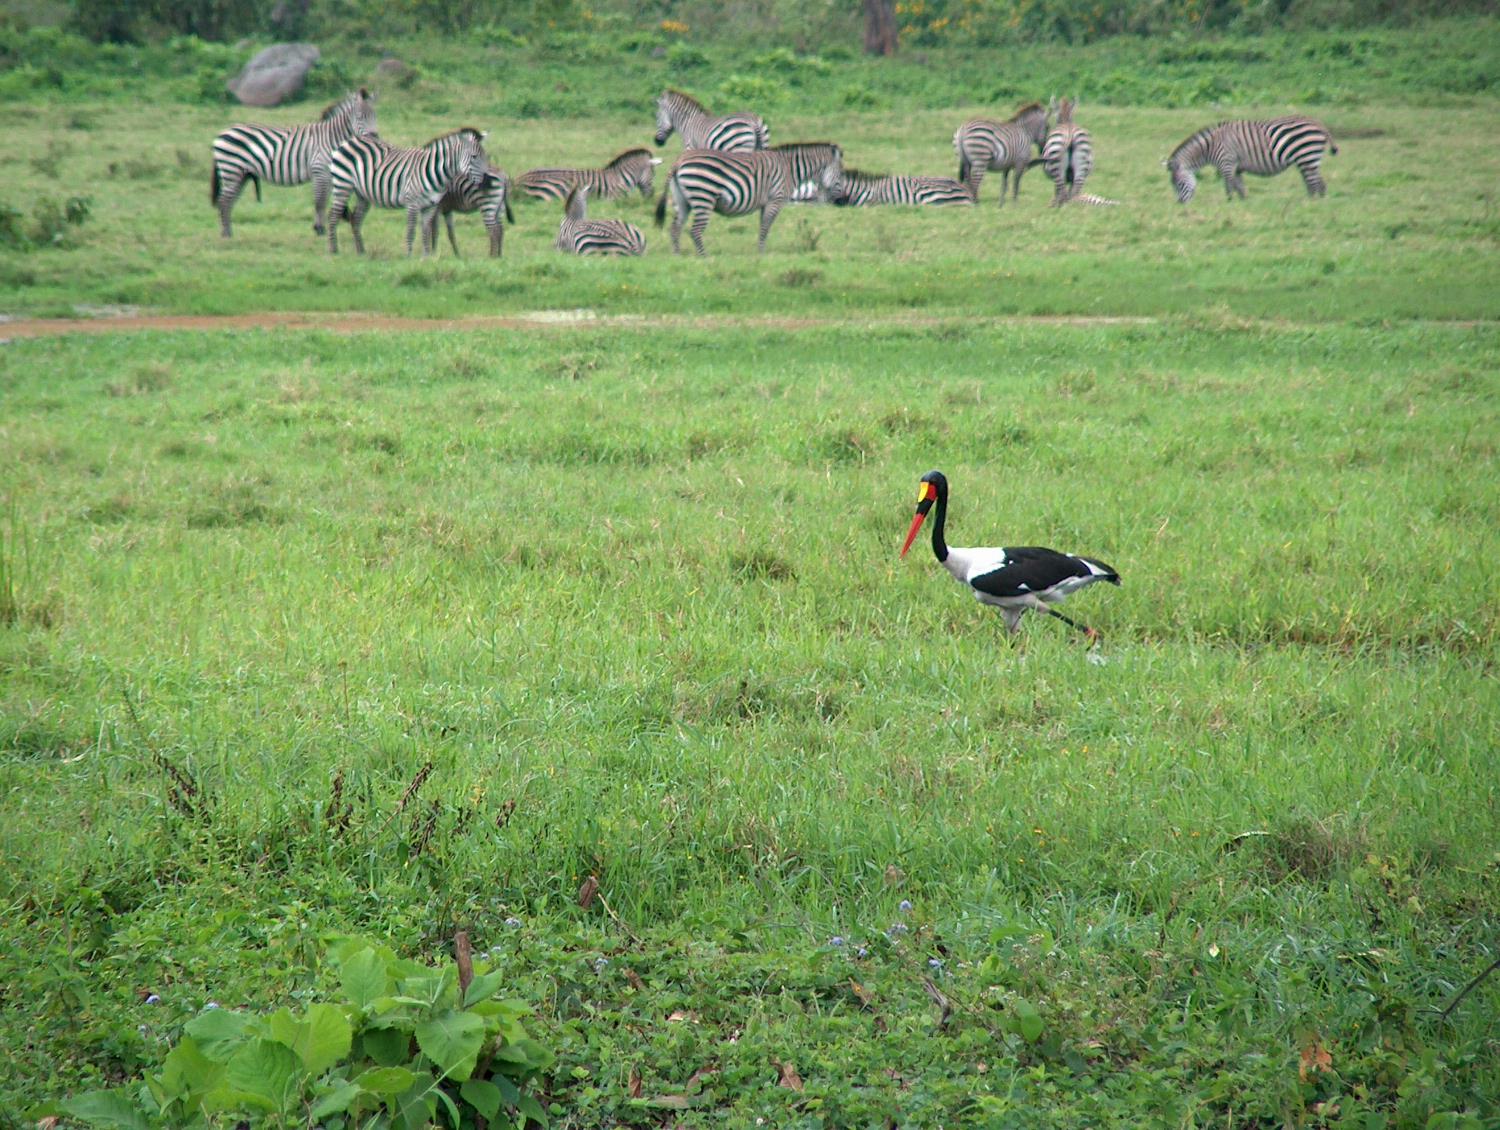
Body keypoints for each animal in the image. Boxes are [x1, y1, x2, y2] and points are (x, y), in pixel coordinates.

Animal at [210, 88, 377, 238]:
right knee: (223, 201)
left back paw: (228, 231)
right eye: (360, 117)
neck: (331, 138)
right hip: (231, 169)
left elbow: (324, 200)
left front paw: (320, 227)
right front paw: (320, 230)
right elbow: (320, 201)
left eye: (374, 116)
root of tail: (222, 133)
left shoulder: (329, 174)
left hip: (241, 174)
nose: (374, 136)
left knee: (229, 201)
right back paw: (226, 234)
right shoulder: (320, 171)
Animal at [326, 127, 488, 256]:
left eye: (486, 157)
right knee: (333, 216)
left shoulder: (430, 206)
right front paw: (409, 256)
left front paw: (426, 256)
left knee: (356, 219)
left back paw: (361, 252)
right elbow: (411, 230)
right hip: (343, 184)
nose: (485, 182)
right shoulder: (412, 203)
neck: (436, 172)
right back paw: (334, 251)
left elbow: (426, 231)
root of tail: (351, 140)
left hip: (363, 194)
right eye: (474, 157)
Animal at [654, 143, 843, 256]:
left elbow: (762, 227)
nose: (839, 199)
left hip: (682, 201)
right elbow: (766, 227)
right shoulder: (775, 200)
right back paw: (705, 257)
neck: (789, 169)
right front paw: (762, 254)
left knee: (675, 228)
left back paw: (677, 255)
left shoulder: (765, 203)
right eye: (841, 172)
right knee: (695, 230)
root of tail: (679, 161)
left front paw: (760, 251)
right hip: (703, 197)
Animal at [1165, 117, 1338, 203]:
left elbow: (1229, 185)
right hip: (1306, 159)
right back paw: (1313, 202)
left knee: (1316, 183)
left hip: (1307, 156)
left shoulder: (1226, 162)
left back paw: (1312, 204)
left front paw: (1229, 203)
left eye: (1179, 184)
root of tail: (1318, 124)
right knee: (1315, 183)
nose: (1180, 204)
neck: (1210, 147)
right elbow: (1239, 186)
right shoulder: (1236, 167)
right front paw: (1243, 202)